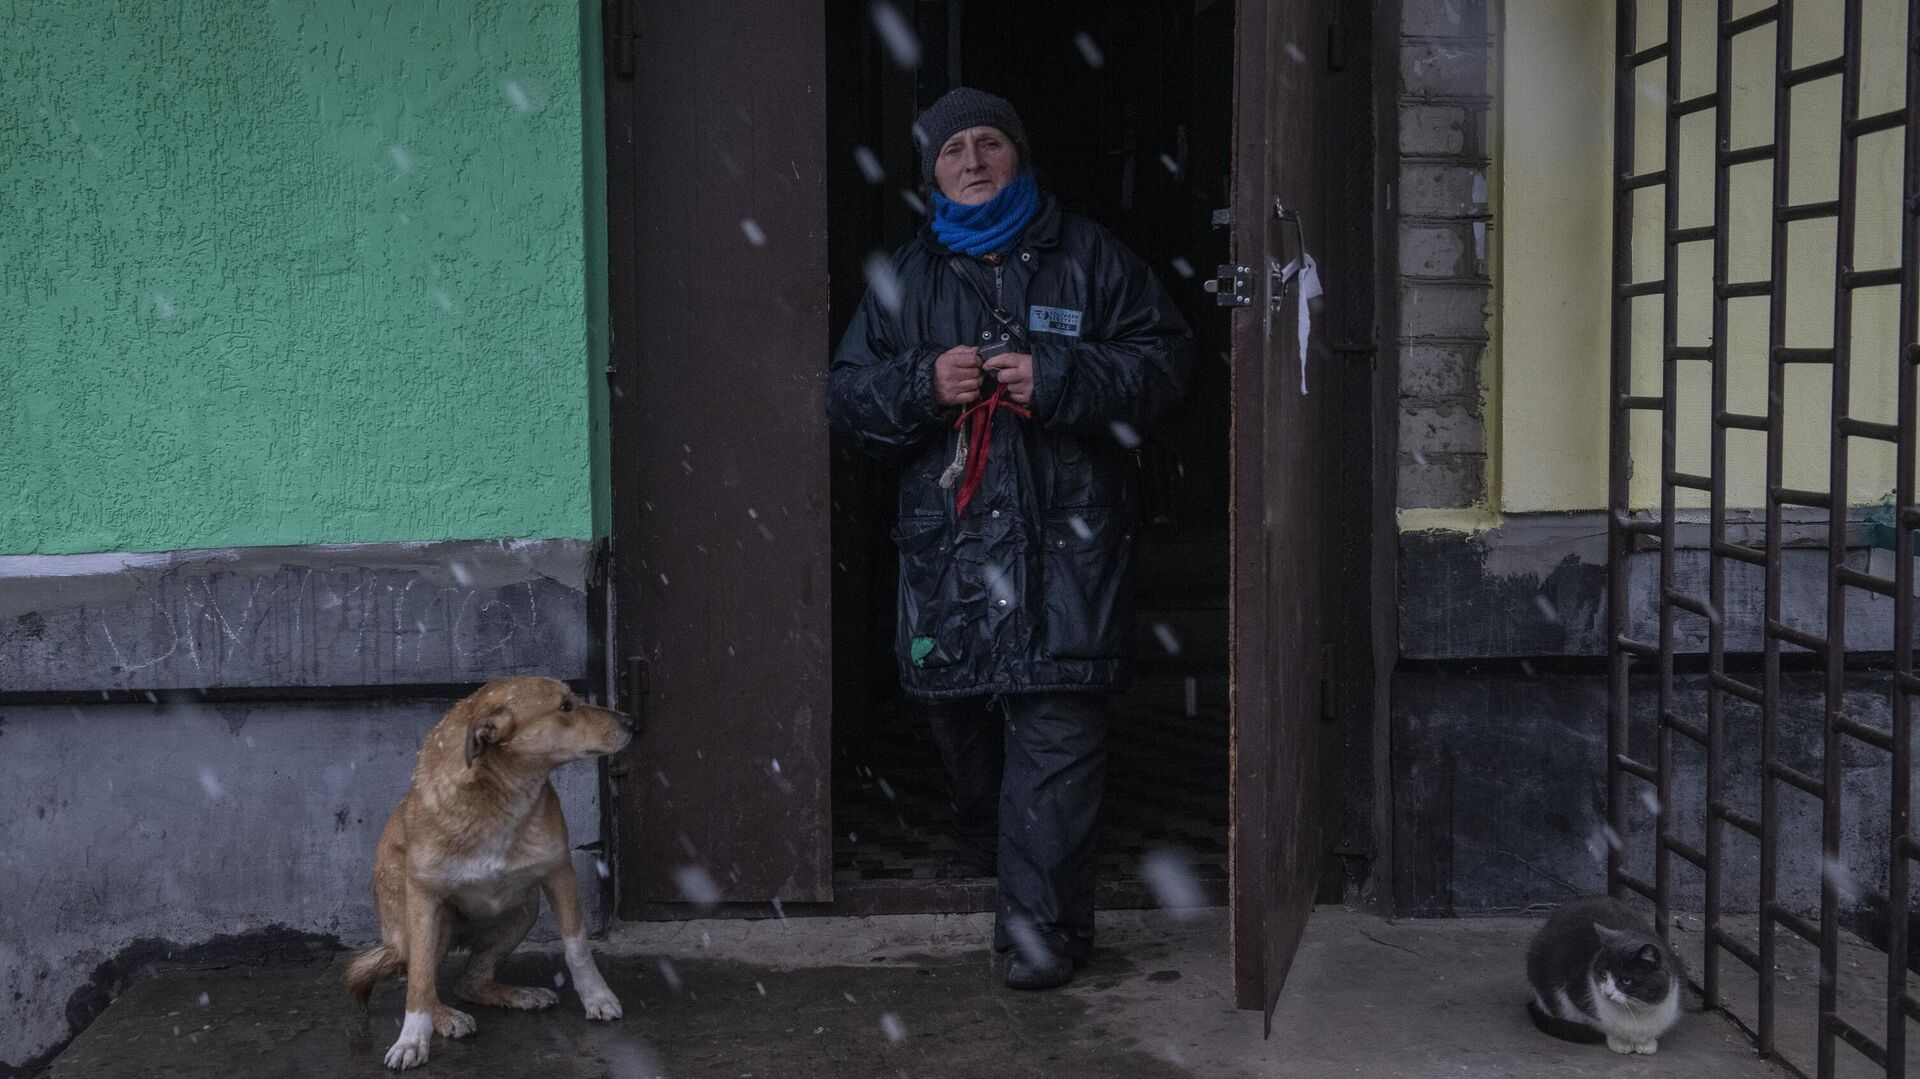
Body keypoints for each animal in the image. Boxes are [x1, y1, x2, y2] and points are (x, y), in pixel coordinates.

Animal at [345, 675, 637, 1059]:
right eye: (566, 707)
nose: (631, 721)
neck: (499, 798)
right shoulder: (423, 899)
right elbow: (420, 979)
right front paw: (412, 1039)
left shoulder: (559, 871)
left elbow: (577, 946)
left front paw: (597, 997)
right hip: (430, 926)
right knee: (419, 973)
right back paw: (444, 1016)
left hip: (525, 909)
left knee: (469, 981)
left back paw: (518, 994)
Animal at [1528, 890, 1681, 1052]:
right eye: (1603, 975)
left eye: (1626, 980)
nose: (1607, 993)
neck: (1636, 1011)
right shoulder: (1573, 989)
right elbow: (1602, 1024)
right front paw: (1618, 1041)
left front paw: (1646, 1043)